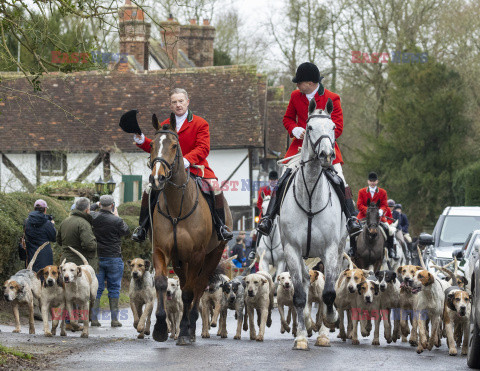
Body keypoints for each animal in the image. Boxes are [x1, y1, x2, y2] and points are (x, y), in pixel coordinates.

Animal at [149, 114, 233, 346]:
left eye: (174, 145)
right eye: (151, 144)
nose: (157, 178)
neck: (177, 206)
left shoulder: (196, 255)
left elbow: (188, 292)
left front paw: (186, 330)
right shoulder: (161, 250)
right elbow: (161, 283)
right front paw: (160, 328)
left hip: (212, 254)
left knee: (198, 285)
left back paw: (191, 326)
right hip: (180, 261)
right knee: (187, 281)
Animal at [280, 97, 346, 350]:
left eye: (334, 127)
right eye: (308, 127)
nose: (327, 155)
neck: (310, 195)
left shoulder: (330, 249)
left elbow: (328, 293)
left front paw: (329, 322)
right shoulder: (292, 249)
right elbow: (300, 295)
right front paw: (300, 336)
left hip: (338, 250)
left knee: (331, 282)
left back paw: (324, 329)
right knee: (307, 283)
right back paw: (308, 324)